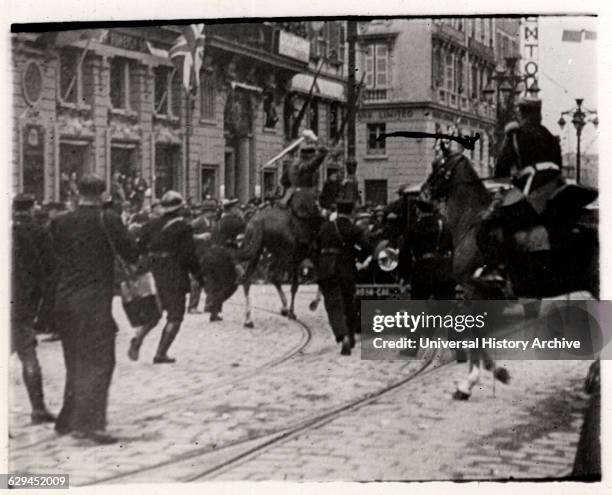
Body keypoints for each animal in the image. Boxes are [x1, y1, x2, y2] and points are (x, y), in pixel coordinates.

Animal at [424, 149, 600, 402]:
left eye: (437, 166)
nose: (423, 192)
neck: (472, 221)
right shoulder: (478, 294)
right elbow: (474, 331)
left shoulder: (476, 291)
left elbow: (474, 332)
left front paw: (480, 378)